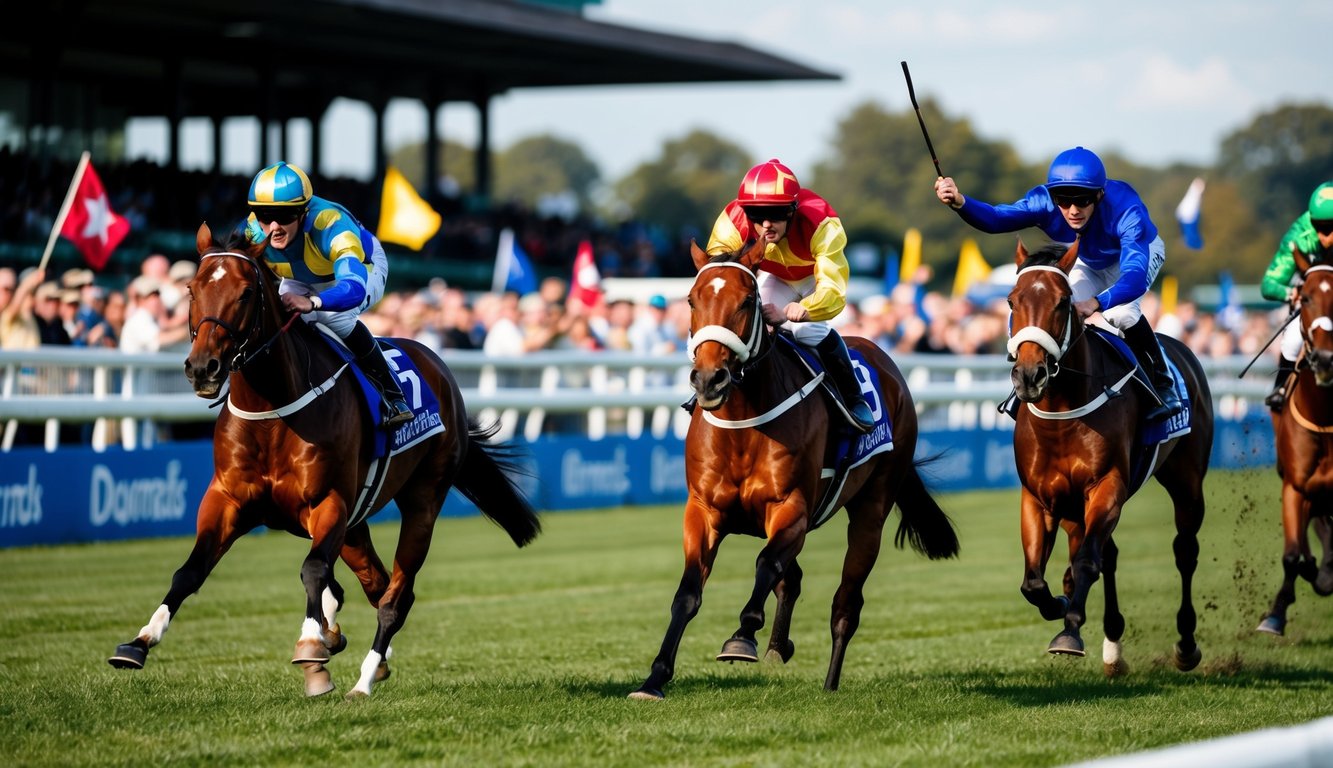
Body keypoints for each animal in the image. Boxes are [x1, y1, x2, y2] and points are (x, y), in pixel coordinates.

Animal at [106, 220, 538, 693]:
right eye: (191, 288)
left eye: (245, 293)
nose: (203, 368)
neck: (272, 412)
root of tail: (438, 365)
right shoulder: (228, 500)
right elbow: (189, 571)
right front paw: (138, 642)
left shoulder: (328, 501)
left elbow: (313, 570)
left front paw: (313, 648)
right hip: (355, 523)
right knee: (376, 584)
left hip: (423, 498)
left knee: (395, 597)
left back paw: (364, 680)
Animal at [626, 240, 959, 704]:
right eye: (691, 300)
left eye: (747, 302)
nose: (710, 380)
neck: (744, 422)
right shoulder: (704, 511)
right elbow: (689, 593)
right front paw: (653, 680)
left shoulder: (791, 508)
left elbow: (766, 565)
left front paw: (742, 636)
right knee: (794, 578)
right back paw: (780, 646)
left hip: (871, 509)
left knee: (845, 605)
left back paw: (830, 682)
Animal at [1007, 241, 1221, 677]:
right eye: (1011, 301)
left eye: (1062, 302)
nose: (1029, 376)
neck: (1061, 414)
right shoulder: (1040, 497)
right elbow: (1034, 582)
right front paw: (1062, 603)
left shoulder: (1107, 486)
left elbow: (1088, 562)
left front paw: (1069, 631)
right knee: (1109, 554)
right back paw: (1113, 648)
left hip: (1187, 481)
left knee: (1184, 551)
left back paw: (1186, 644)